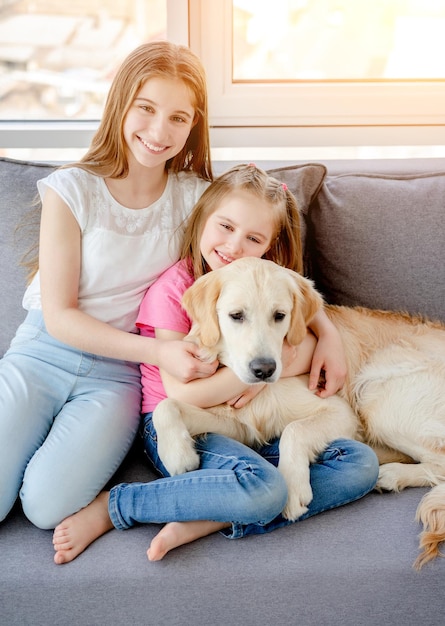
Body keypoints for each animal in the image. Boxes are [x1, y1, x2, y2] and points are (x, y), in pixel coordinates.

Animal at [153, 254, 444, 564]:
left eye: (279, 315)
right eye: (236, 316)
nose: (264, 369)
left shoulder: (340, 410)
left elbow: (294, 430)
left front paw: (293, 488)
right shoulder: (238, 424)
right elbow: (166, 406)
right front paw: (177, 454)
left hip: (376, 395)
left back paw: (391, 475)